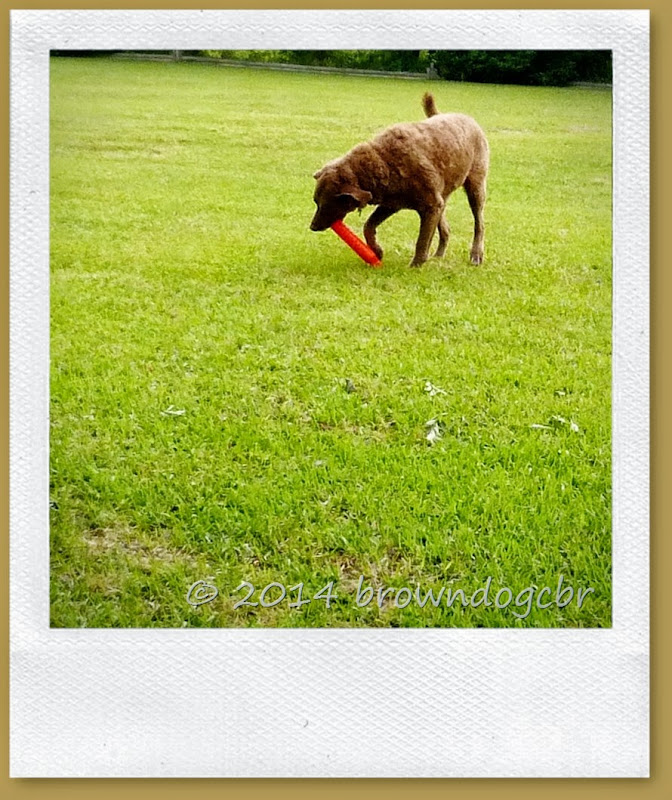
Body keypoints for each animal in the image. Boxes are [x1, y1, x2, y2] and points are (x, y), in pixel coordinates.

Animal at [310, 93, 489, 267]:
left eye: (327, 204)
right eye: (316, 202)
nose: (312, 226)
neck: (384, 162)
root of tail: (467, 118)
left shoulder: (430, 205)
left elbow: (422, 240)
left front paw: (416, 265)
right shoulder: (392, 204)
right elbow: (368, 226)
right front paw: (377, 251)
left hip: (475, 186)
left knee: (479, 224)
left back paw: (476, 255)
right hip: (442, 197)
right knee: (446, 229)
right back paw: (438, 256)